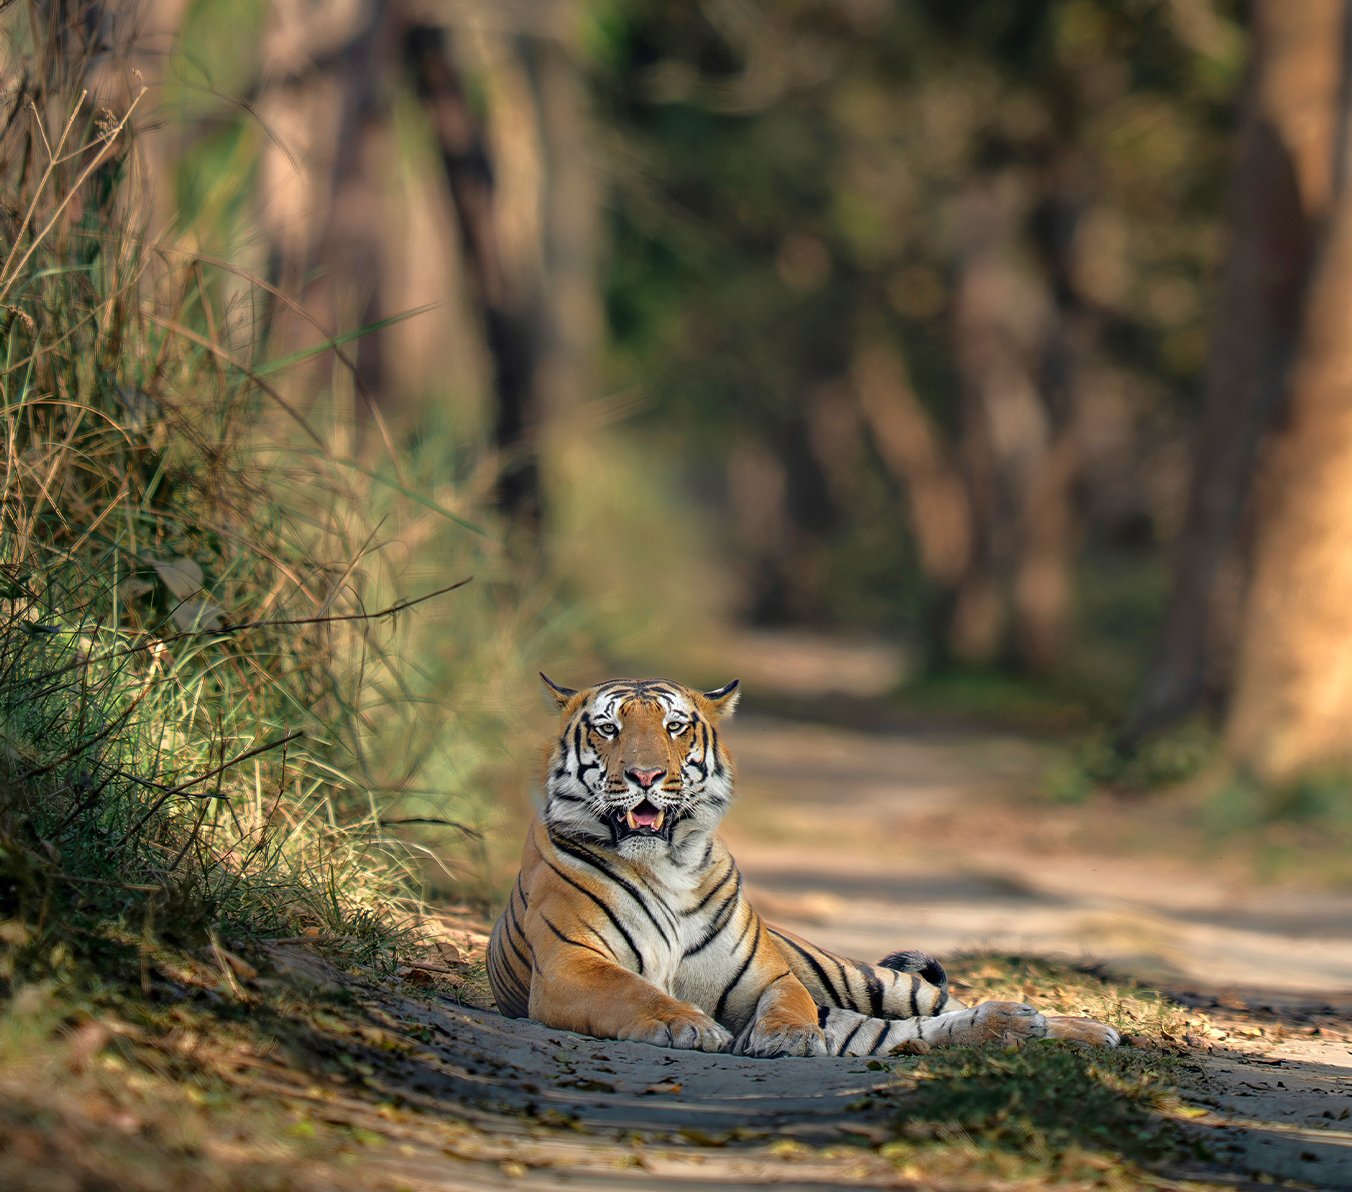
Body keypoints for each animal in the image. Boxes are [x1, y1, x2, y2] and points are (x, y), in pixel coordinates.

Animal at [486, 675, 1119, 1058]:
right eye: (608, 728)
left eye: (674, 727)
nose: (645, 775)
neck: (665, 864)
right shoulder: (571, 965)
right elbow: (634, 991)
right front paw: (689, 1024)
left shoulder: (769, 977)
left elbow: (787, 1003)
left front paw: (787, 1038)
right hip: (858, 1015)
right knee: (906, 1032)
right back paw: (1014, 1025)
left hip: (858, 976)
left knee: (938, 1003)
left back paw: (1076, 1027)